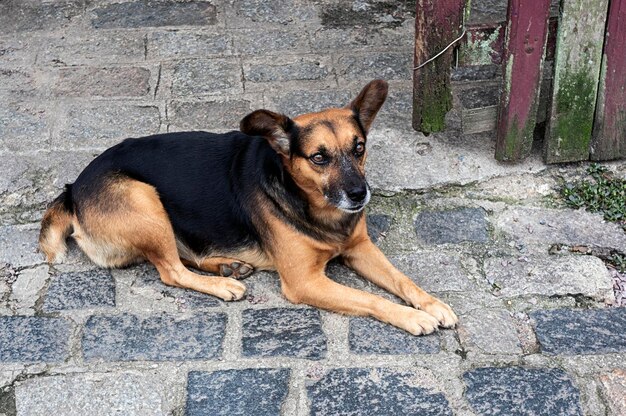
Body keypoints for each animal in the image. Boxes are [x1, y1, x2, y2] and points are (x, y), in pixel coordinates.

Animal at [40, 80, 458, 334]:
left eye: (359, 148)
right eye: (319, 157)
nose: (359, 194)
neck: (312, 204)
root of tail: (73, 189)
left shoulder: (361, 249)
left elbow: (403, 280)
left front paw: (432, 304)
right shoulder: (305, 282)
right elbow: (370, 298)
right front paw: (411, 316)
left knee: (181, 256)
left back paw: (227, 265)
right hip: (143, 199)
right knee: (170, 271)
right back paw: (224, 284)